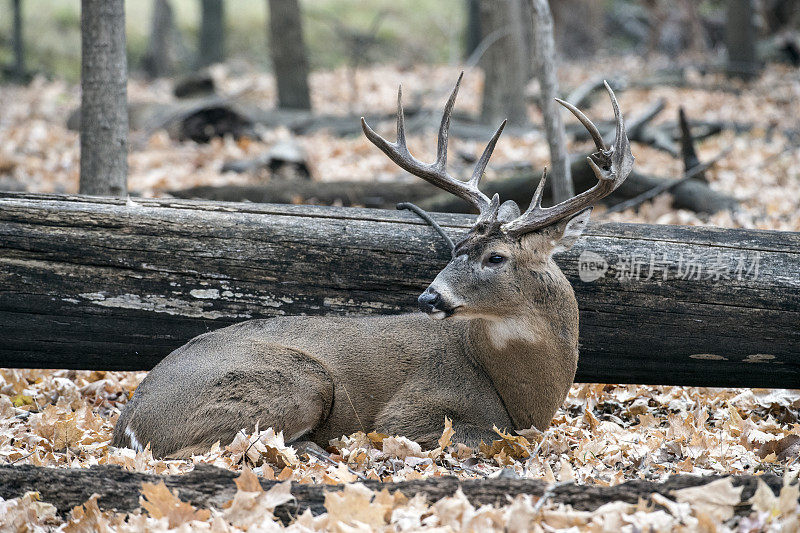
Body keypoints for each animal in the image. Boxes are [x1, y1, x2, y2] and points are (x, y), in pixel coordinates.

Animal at [114, 75, 632, 458]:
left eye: (495, 256)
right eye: (456, 247)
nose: (429, 296)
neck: (528, 399)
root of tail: (131, 422)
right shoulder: (414, 409)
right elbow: (481, 434)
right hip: (297, 380)